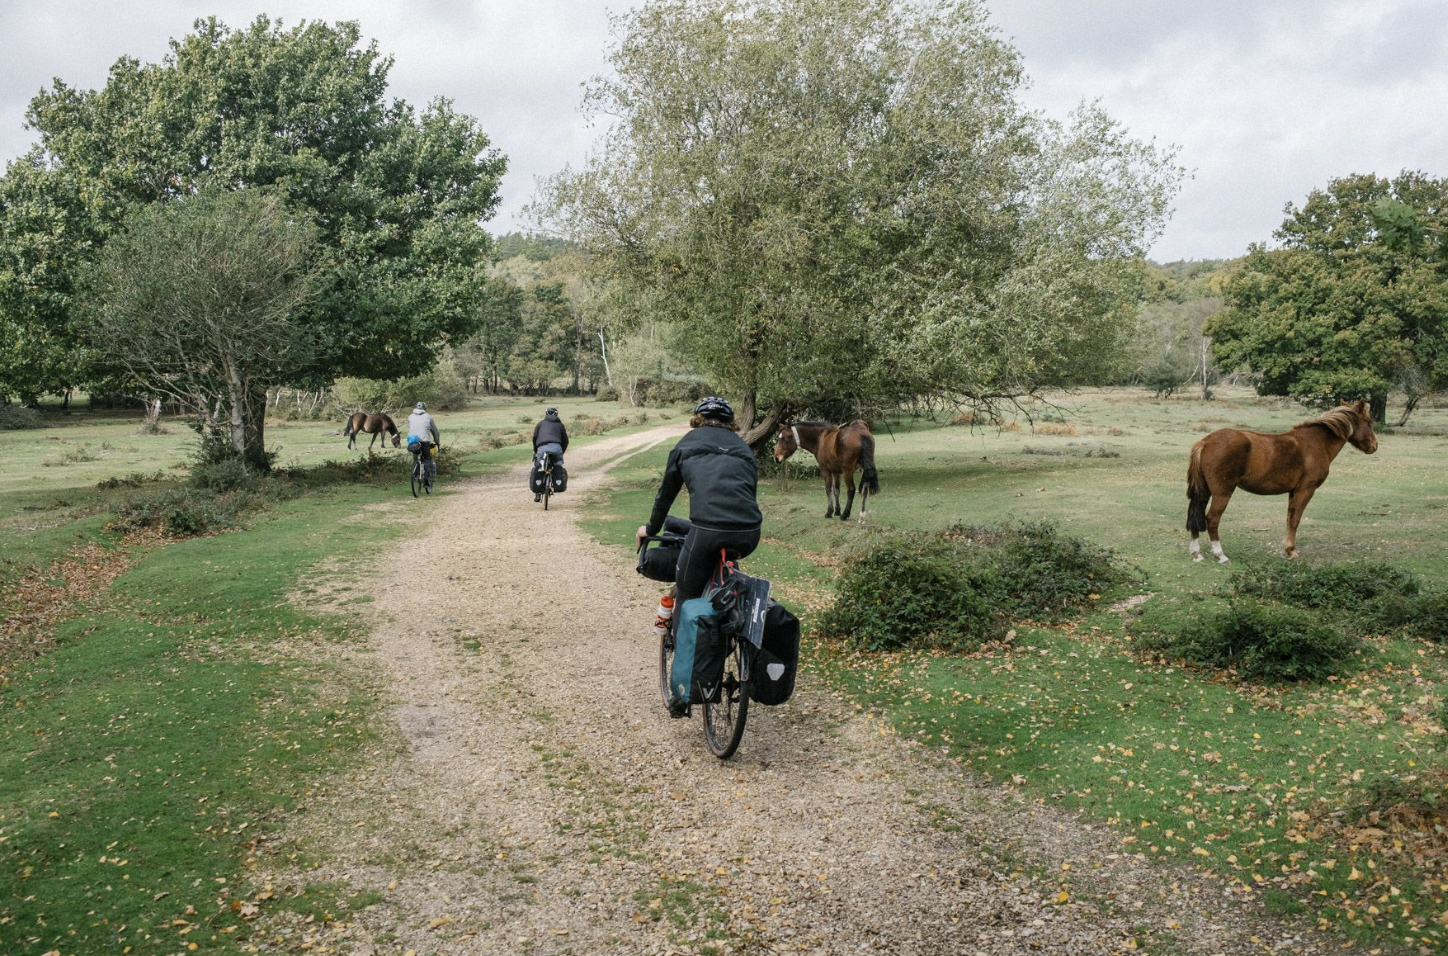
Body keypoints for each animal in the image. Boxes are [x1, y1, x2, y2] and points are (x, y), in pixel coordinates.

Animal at [1187, 399, 1378, 564]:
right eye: (1369, 422)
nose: (1374, 446)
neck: (1316, 443)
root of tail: (1204, 442)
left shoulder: (1293, 492)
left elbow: (1289, 518)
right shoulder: (1305, 490)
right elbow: (1295, 519)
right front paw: (1291, 551)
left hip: (1204, 492)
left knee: (1195, 516)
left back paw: (1197, 554)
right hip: (1222, 494)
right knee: (1212, 519)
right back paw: (1220, 555)